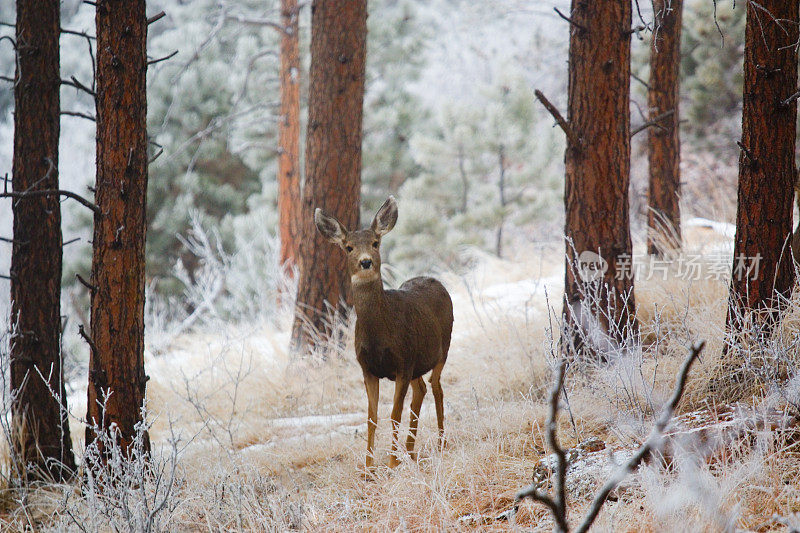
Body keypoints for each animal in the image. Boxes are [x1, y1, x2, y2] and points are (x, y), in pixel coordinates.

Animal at [316, 197, 454, 468]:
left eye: (375, 243)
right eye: (348, 247)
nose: (366, 261)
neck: (380, 334)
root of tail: (436, 281)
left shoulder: (403, 362)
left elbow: (394, 414)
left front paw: (391, 463)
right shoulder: (368, 368)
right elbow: (371, 417)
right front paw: (368, 468)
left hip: (442, 349)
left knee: (436, 387)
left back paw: (441, 443)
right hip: (416, 363)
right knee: (421, 390)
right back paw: (410, 450)